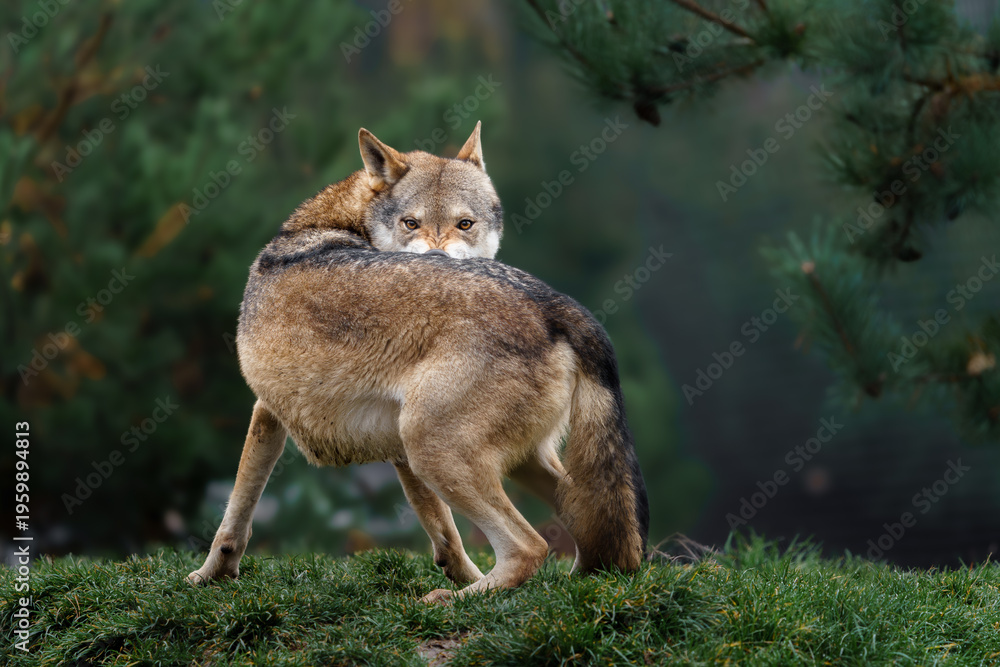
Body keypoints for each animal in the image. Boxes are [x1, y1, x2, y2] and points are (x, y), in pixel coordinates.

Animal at [187, 124, 649, 602]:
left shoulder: (269, 410)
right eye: (411, 223)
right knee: (603, 533)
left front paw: (208, 574)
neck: (333, 223)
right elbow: (444, 532)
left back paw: (454, 601)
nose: (436, 257)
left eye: (465, 224)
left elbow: (238, 506)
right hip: (504, 460)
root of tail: (554, 303)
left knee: (529, 547)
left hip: (431, 446)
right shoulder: (380, 443)